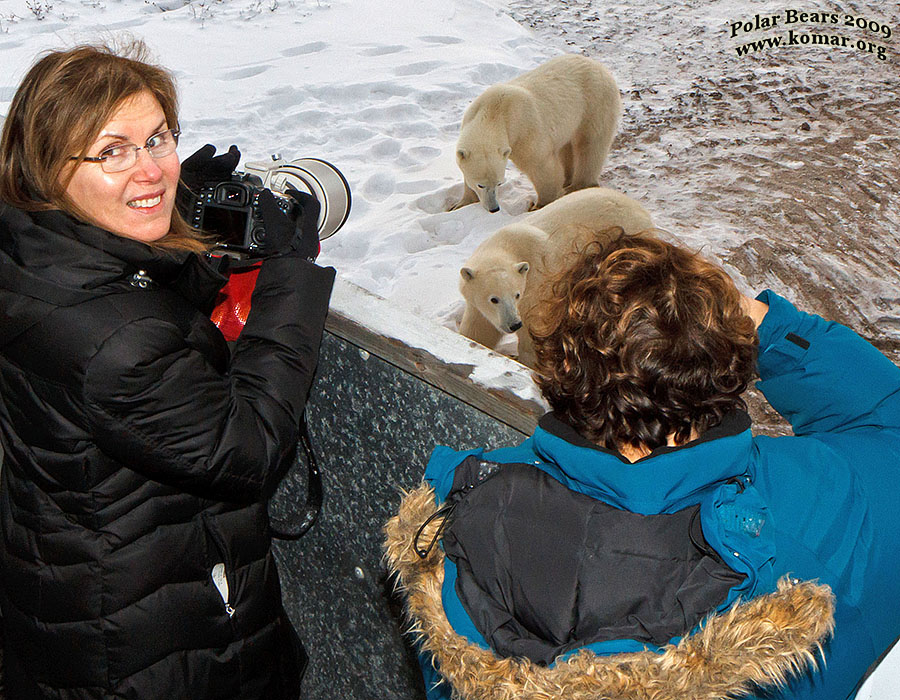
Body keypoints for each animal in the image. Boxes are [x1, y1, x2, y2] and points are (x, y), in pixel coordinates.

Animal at [454, 54, 624, 212]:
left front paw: (539, 205)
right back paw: (567, 181)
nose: (494, 208)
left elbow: (540, 165)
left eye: (499, 183)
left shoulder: (524, 130)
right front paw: (460, 204)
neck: (494, 111)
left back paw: (577, 186)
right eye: (480, 185)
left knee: (590, 145)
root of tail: (600, 67)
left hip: (595, 103)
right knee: (566, 148)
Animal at [460, 187, 652, 366]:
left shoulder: (534, 291)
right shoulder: (476, 302)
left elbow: (533, 332)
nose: (514, 324)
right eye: (494, 299)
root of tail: (640, 209)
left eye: (517, 295)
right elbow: (478, 329)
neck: (508, 246)